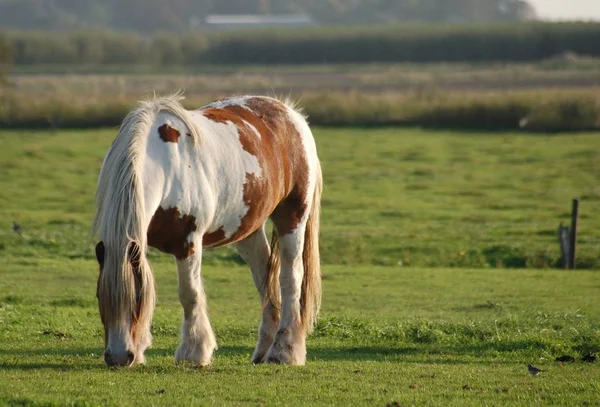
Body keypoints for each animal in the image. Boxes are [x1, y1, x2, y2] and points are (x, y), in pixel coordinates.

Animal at [91, 94, 322, 368]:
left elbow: (189, 293)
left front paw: (194, 352)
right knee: (265, 279)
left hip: (293, 217)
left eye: (137, 298)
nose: (118, 357)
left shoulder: (187, 241)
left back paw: (284, 351)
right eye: (99, 295)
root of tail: (291, 113)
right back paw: (263, 351)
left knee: (290, 278)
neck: (163, 163)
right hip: (248, 231)